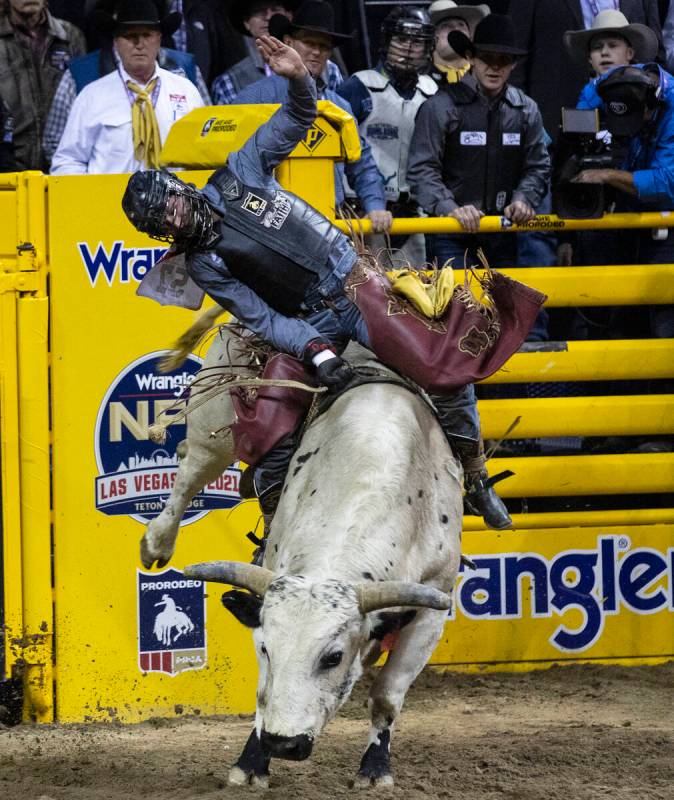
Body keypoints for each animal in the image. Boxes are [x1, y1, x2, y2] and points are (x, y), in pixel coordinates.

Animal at [157, 324, 462, 788]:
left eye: (332, 657)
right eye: (267, 648)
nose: (283, 744)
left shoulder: (431, 609)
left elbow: (387, 697)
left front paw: (375, 768)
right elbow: (263, 696)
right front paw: (251, 762)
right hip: (214, 424)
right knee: (191, 469)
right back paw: (156, 543)